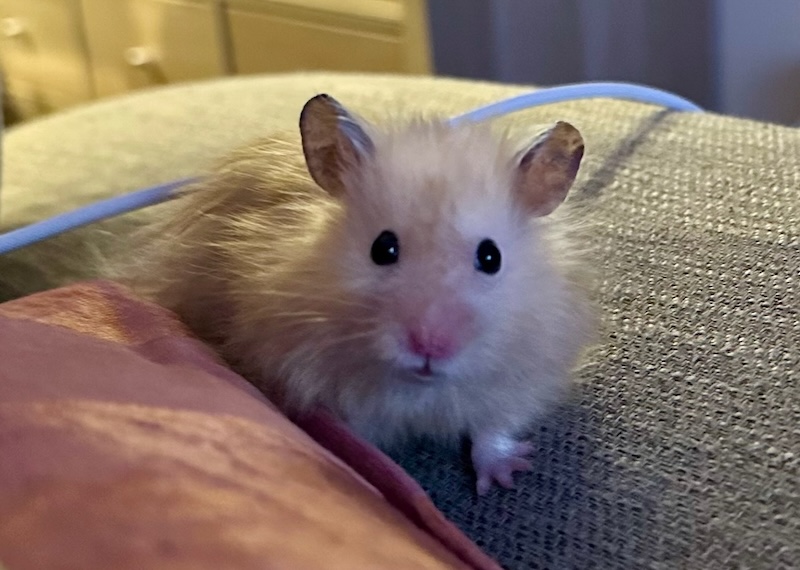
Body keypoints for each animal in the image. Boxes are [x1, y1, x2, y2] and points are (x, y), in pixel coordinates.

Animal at [114, 94, 595, 495]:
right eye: (382, 249)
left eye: (491, 257)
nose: (430, 346)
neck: (417, 388)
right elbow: (360, 442)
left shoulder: (517, 376)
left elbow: (491, 431)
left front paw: (505, 480)